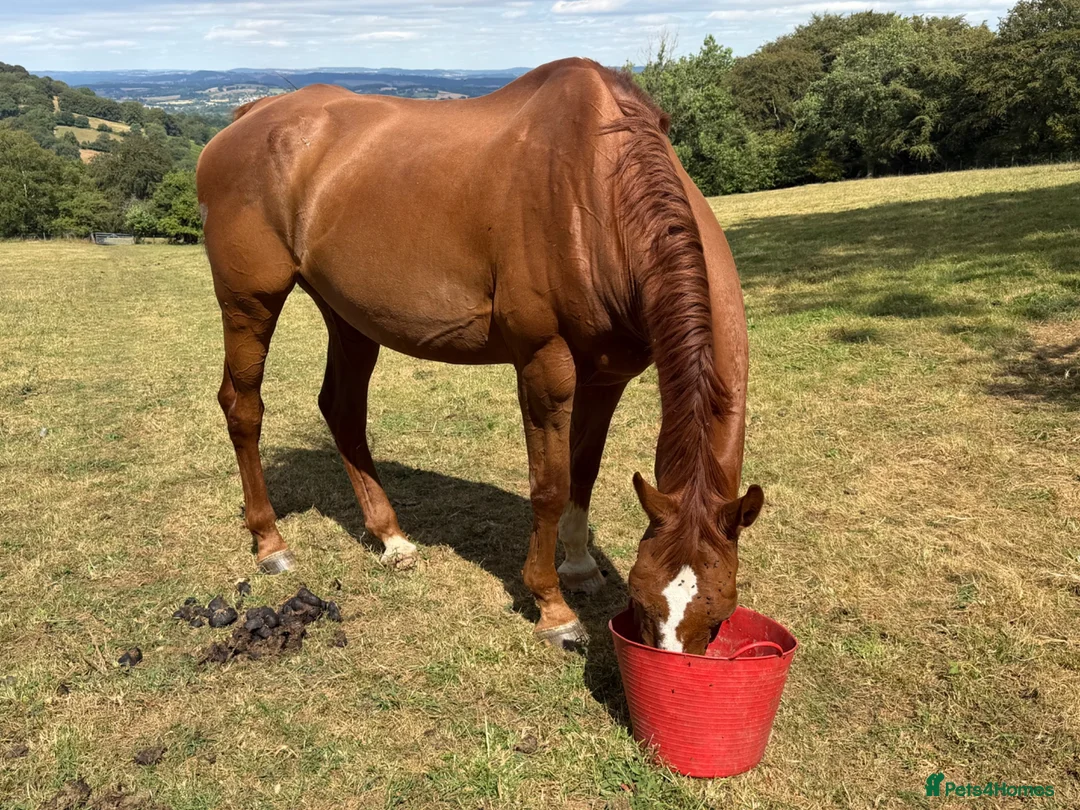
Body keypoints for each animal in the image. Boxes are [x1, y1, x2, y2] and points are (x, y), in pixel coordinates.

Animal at [196, 58, 764, 655]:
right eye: (644, 602)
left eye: (719, 614)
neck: (596, 189)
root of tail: (250, 115)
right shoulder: (545, 366)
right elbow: (549, 485)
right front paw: (552, 606)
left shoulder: (608, 377)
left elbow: (582, 471)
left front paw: (580, 565)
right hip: (249, 304)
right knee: (243, 408)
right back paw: (270, 542)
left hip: (348, 317)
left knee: (342, 409)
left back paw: (391, 538)